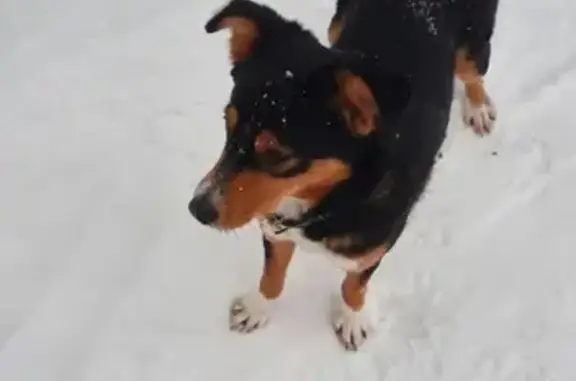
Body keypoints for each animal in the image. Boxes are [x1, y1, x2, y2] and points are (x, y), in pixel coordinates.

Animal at [189, 0, 500, 350]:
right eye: (227, 125)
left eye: (278, 154)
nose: (197, 209)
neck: (332, 194)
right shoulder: (275, 226)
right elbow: (272, 274)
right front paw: (258, 308)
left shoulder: (374, 247)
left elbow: (353, 285)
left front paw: (353, 320)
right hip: (337, 23)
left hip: (473, 45)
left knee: (473, 74)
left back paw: (478, 108)